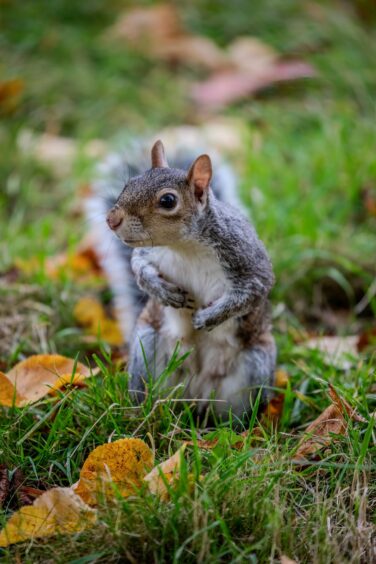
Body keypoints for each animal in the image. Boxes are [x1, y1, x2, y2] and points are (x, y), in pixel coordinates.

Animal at [88, 139, 276, 416]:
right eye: (129, 183)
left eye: (168, 200)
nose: (111, 220)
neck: (184, 247)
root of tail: (196, 394)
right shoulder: (148, 252)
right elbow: (138, 267)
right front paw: (162, 291)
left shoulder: (248, 260)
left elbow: (253, 290)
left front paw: (208, 317)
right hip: (147, 347)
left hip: (255, 366)